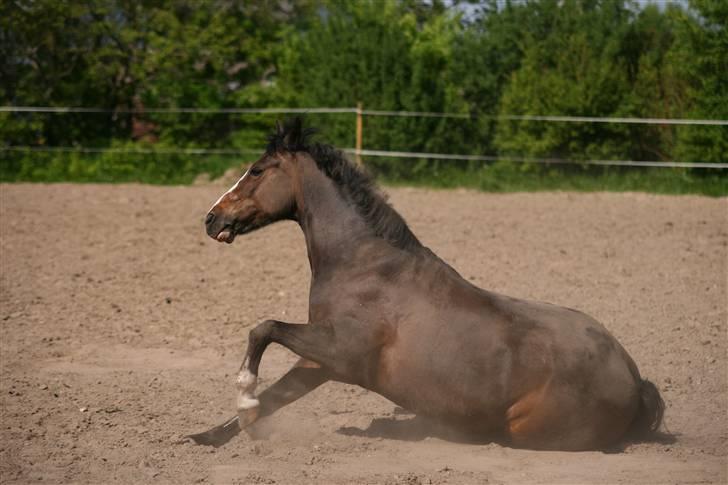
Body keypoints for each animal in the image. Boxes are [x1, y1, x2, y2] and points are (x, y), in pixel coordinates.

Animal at [189, 117, 664, 450]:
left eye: (256, 170)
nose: (212, 218)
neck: (363, 264)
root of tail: (633, 379)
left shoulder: (339, 352)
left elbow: (264, 329)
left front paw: (244, 396)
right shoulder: (320, 360)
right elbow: (278, 393)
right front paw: (214, 433)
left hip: (528, 429)